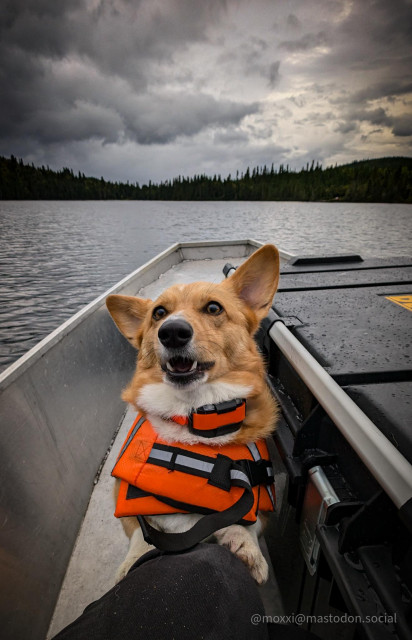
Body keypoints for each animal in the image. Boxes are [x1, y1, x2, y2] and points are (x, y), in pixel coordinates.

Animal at [106, 244, 280, 584]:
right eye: (159, 313)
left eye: (213, 308)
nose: (172, 332)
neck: (194, 416)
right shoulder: (125, 499)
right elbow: (141, 532)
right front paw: (134, 561)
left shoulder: (263, 505)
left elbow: (247, 520)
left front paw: (244, 545)